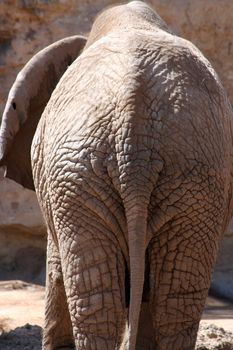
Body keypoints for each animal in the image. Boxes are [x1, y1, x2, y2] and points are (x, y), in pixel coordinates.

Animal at [0, 2, 233, 350]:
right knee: (175, 299)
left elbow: (56, 266)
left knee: (98, 299)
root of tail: (133, 130)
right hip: (191, 174)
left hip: (82, 174)